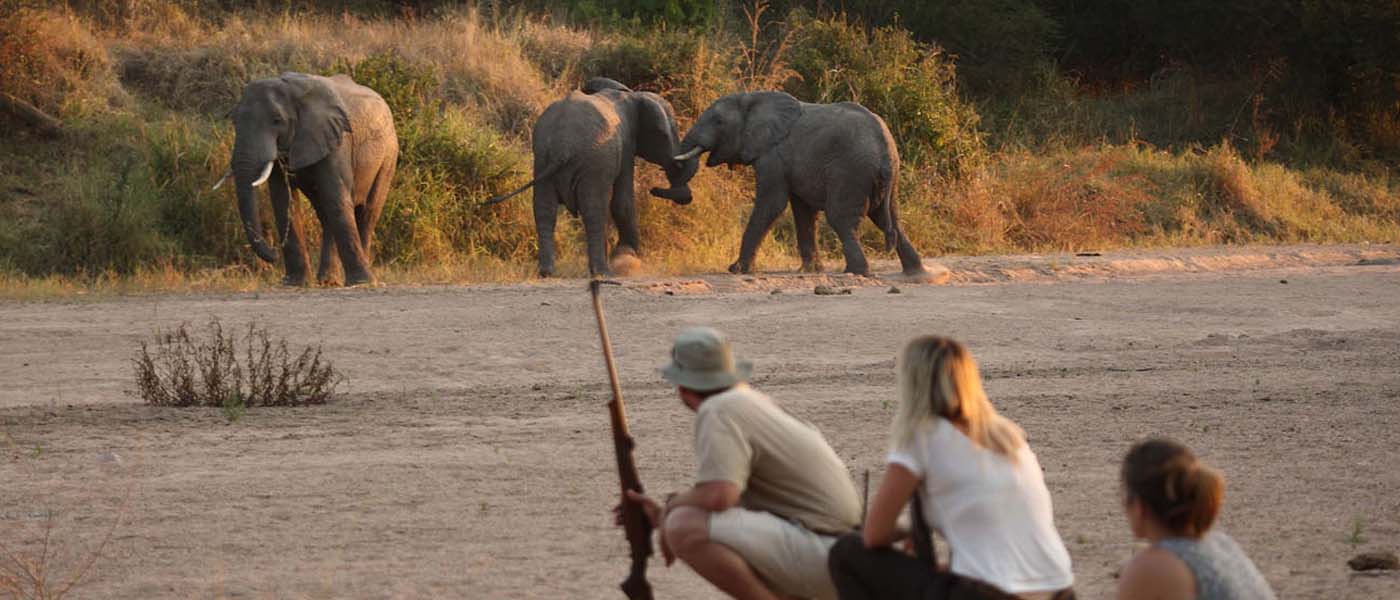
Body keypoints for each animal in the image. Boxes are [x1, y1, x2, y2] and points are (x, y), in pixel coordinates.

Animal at [214, 70, 400, 285]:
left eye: (277, 120)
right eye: (234, 121)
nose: (274, 254)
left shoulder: (337, 142)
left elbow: (336, 199)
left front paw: (361, 282)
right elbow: (283, 202)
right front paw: (293, 283)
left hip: (388, 156)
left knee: (367, 212)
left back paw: (363, 278)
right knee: (326, 215)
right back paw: (327, 281)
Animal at [484, 75, 697, 278]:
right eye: (673, 133)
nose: (654, 189)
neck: (630, 94)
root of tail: (563, 145)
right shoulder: (627, 145)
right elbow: (622, 202)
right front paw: (627, 258)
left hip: (542, 157)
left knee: (544, 210)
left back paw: (547, 272)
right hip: (593, 162)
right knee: (594, 209)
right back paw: (602, 272)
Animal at [672, 91, 935, 281]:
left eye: (718, 121)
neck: (752, 98)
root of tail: (885, 147)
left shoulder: (773, 155)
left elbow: (772, 204)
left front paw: (736, 270)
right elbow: (803, 211)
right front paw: (810, 270)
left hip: (851, 171)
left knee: (841, 218)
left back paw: (855, 272)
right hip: (883, 178)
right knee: (889, 219)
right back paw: (917, 273)